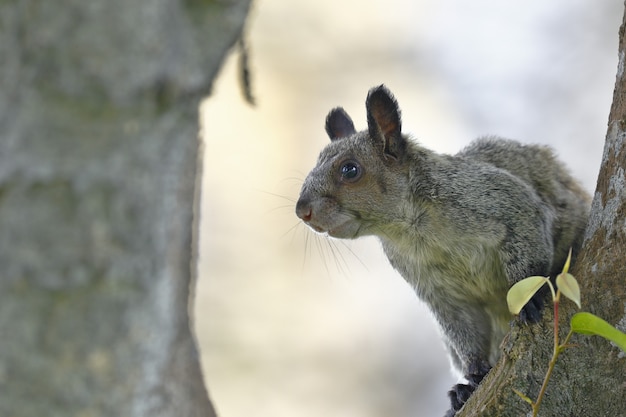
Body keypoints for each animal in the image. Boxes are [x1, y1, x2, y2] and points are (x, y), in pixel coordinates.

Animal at [294, 85, 588, 416]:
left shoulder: (502, 201)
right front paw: (472, 378)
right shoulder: (437, 291)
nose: (302, 210)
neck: (413, 231)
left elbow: (528, 236)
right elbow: (462, 330)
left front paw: (530, 296)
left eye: (349, 169)